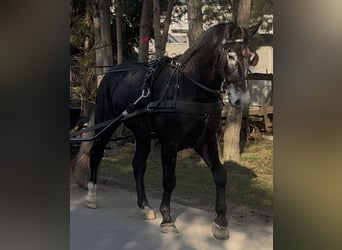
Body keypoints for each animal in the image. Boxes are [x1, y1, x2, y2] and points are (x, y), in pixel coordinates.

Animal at [73, 22, 260, 240]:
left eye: (251, 56)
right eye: (230, 55)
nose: (242, 100)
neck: (189, 88)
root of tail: (113, 72)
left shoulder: (206, 141)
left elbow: (220, 175)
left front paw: (221, 223)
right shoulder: (170, 143)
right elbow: (169, 180)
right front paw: (168, 219)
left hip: (143, 134)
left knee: (138, 165)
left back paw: (145, 207)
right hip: (107, 122)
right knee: (96, 152)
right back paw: (92, 195)